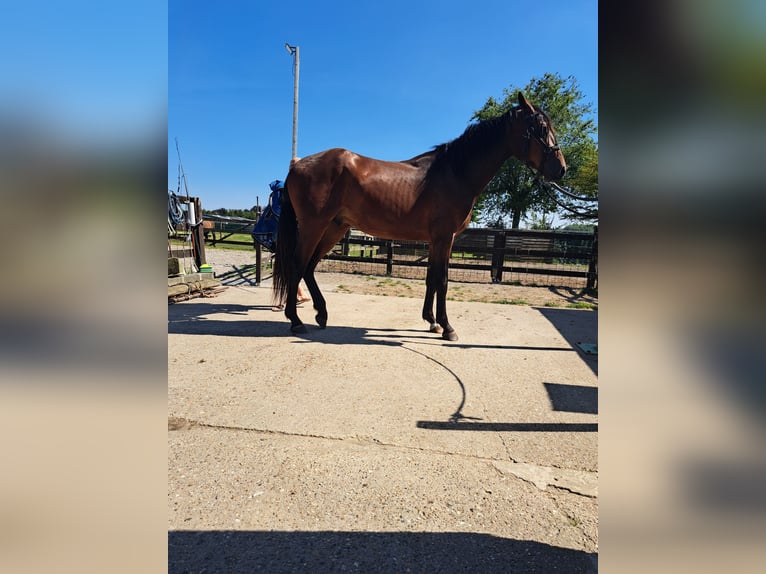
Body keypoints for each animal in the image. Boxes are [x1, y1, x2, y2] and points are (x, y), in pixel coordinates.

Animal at [272, 92, 568, 340]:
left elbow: (431, 278)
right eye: (541, 129)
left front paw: (432, 321)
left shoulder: (438, 240)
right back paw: (296, 320)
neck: (455, 172)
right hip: (313, 226)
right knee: (297, 265)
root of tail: (296, 165)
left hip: (334, 228)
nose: (561, 169)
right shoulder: (444, 237)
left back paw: (321, 314)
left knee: (309, 267)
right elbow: (443, 280)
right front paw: (447, 327)